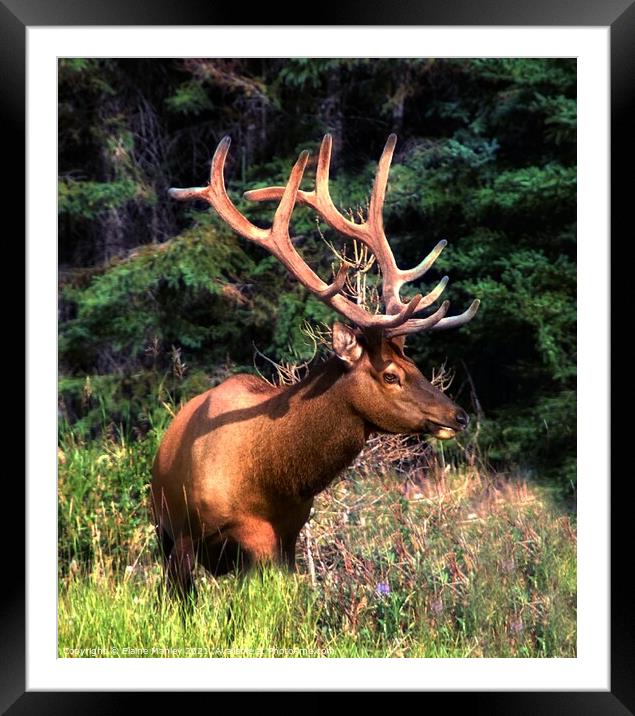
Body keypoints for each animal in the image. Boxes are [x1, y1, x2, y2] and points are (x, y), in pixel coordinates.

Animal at [152, 133, 480, 592]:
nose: (458, 415)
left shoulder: (285, 539)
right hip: (163, 530)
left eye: (415, 366)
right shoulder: (185, 535)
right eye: (391, 375)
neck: (269, 478)